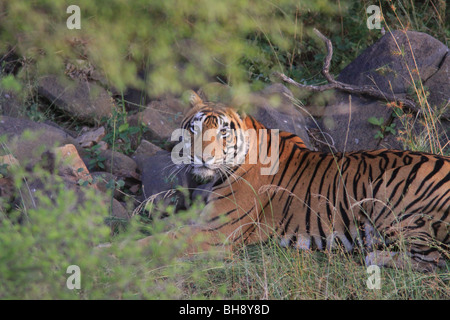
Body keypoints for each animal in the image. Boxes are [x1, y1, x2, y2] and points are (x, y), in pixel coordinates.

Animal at [139, 90, 448, 272]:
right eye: (194, 129)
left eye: (223, 133)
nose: (202, 157)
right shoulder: (203, 220)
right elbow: (162, 228)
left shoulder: (217, 232)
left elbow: (159, 241)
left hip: (394, 209)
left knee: (434, 260)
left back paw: (375, 257)